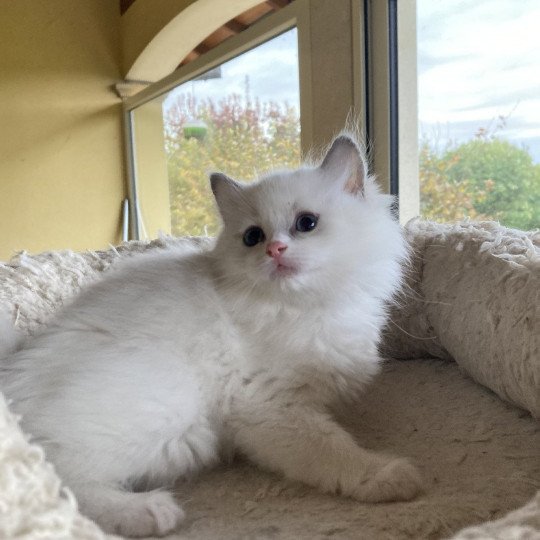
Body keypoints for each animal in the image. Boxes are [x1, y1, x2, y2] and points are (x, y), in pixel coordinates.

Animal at [0, 135, 422, 536]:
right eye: (253, 236)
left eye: (306, 223)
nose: (274, 249)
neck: (300, 308)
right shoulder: (271, 408)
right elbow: (334, 450)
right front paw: (387, 475)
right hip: (165, 412)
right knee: (59, 483)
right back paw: (150, 512)